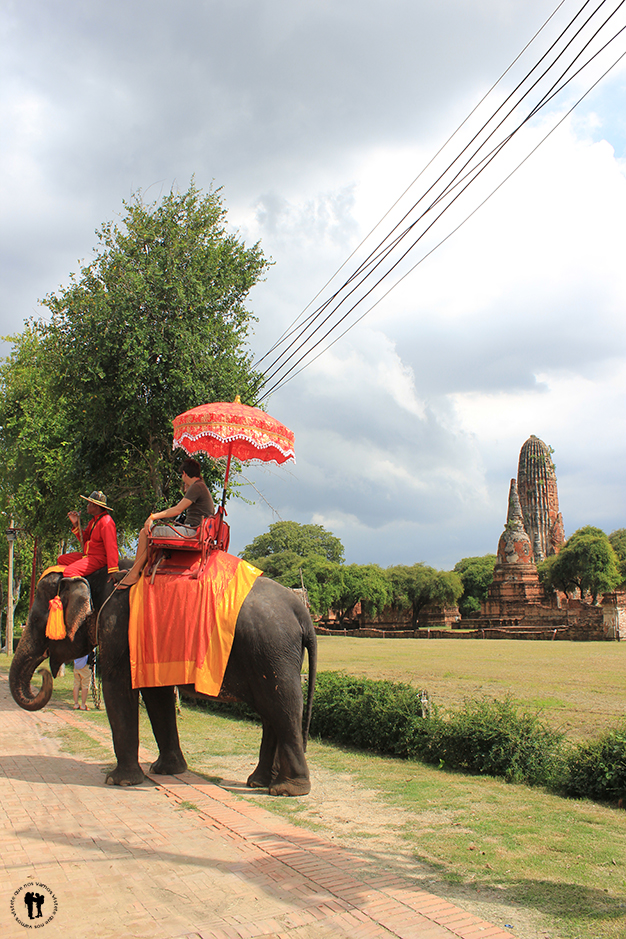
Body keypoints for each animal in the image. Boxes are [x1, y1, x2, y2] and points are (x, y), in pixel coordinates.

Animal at [11, 568, 316, 796]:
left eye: (36, 619)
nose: (44, 673)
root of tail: (300, 610)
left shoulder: (118, 627)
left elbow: (118, 687)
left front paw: (119, 781)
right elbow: (156, 695)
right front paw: (166, 771)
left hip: (272, 651)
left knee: (284, 707)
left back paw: (287, 790)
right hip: (270, 656)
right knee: (271, 711)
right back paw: (259, 782)